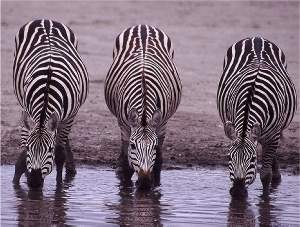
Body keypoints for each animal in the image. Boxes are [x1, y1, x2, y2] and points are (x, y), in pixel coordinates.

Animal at [12, 19, 88, 188]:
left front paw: (60, 187)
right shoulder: (27, 112)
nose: (34, 182)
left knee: (63, 139)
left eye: (49, 149)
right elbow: (21, 156)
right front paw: (18, 182)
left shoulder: (69, 117)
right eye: (29, 147)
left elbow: (60, 154)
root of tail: (45, 20)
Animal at [104, 24, 182, 188]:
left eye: (154, 147)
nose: (145, 182)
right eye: (133, 146)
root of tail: (144, 26)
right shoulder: (124, 125)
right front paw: (125, 183)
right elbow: (126, 160)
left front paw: (155, 184)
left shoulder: (162, 124)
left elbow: (158, 160)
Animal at [218, 37, 298, 195]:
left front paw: (266, 197)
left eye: (253, 159)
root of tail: (256, 38)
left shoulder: (274, 134)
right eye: (229, 157)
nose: (237, 191)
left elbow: (265, 174)